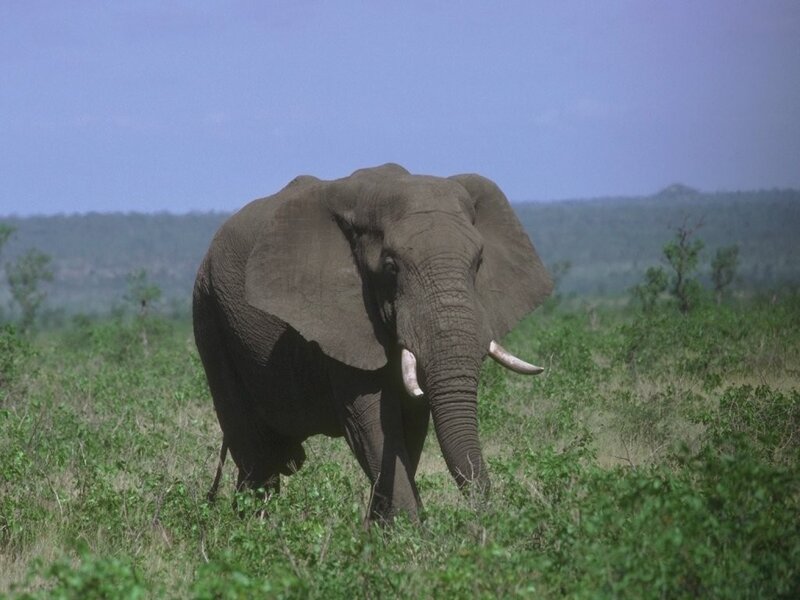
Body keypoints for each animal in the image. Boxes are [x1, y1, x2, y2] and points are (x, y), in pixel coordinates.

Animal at [193, 163, 552, 523]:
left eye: (478, 263)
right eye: (391, 268)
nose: (486, 517)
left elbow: (410, 425)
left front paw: (381, 530)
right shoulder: (342, 320)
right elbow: (372, 423)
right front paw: (410, 531)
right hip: (210, 314)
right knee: (256, 453)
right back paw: (251, 528)